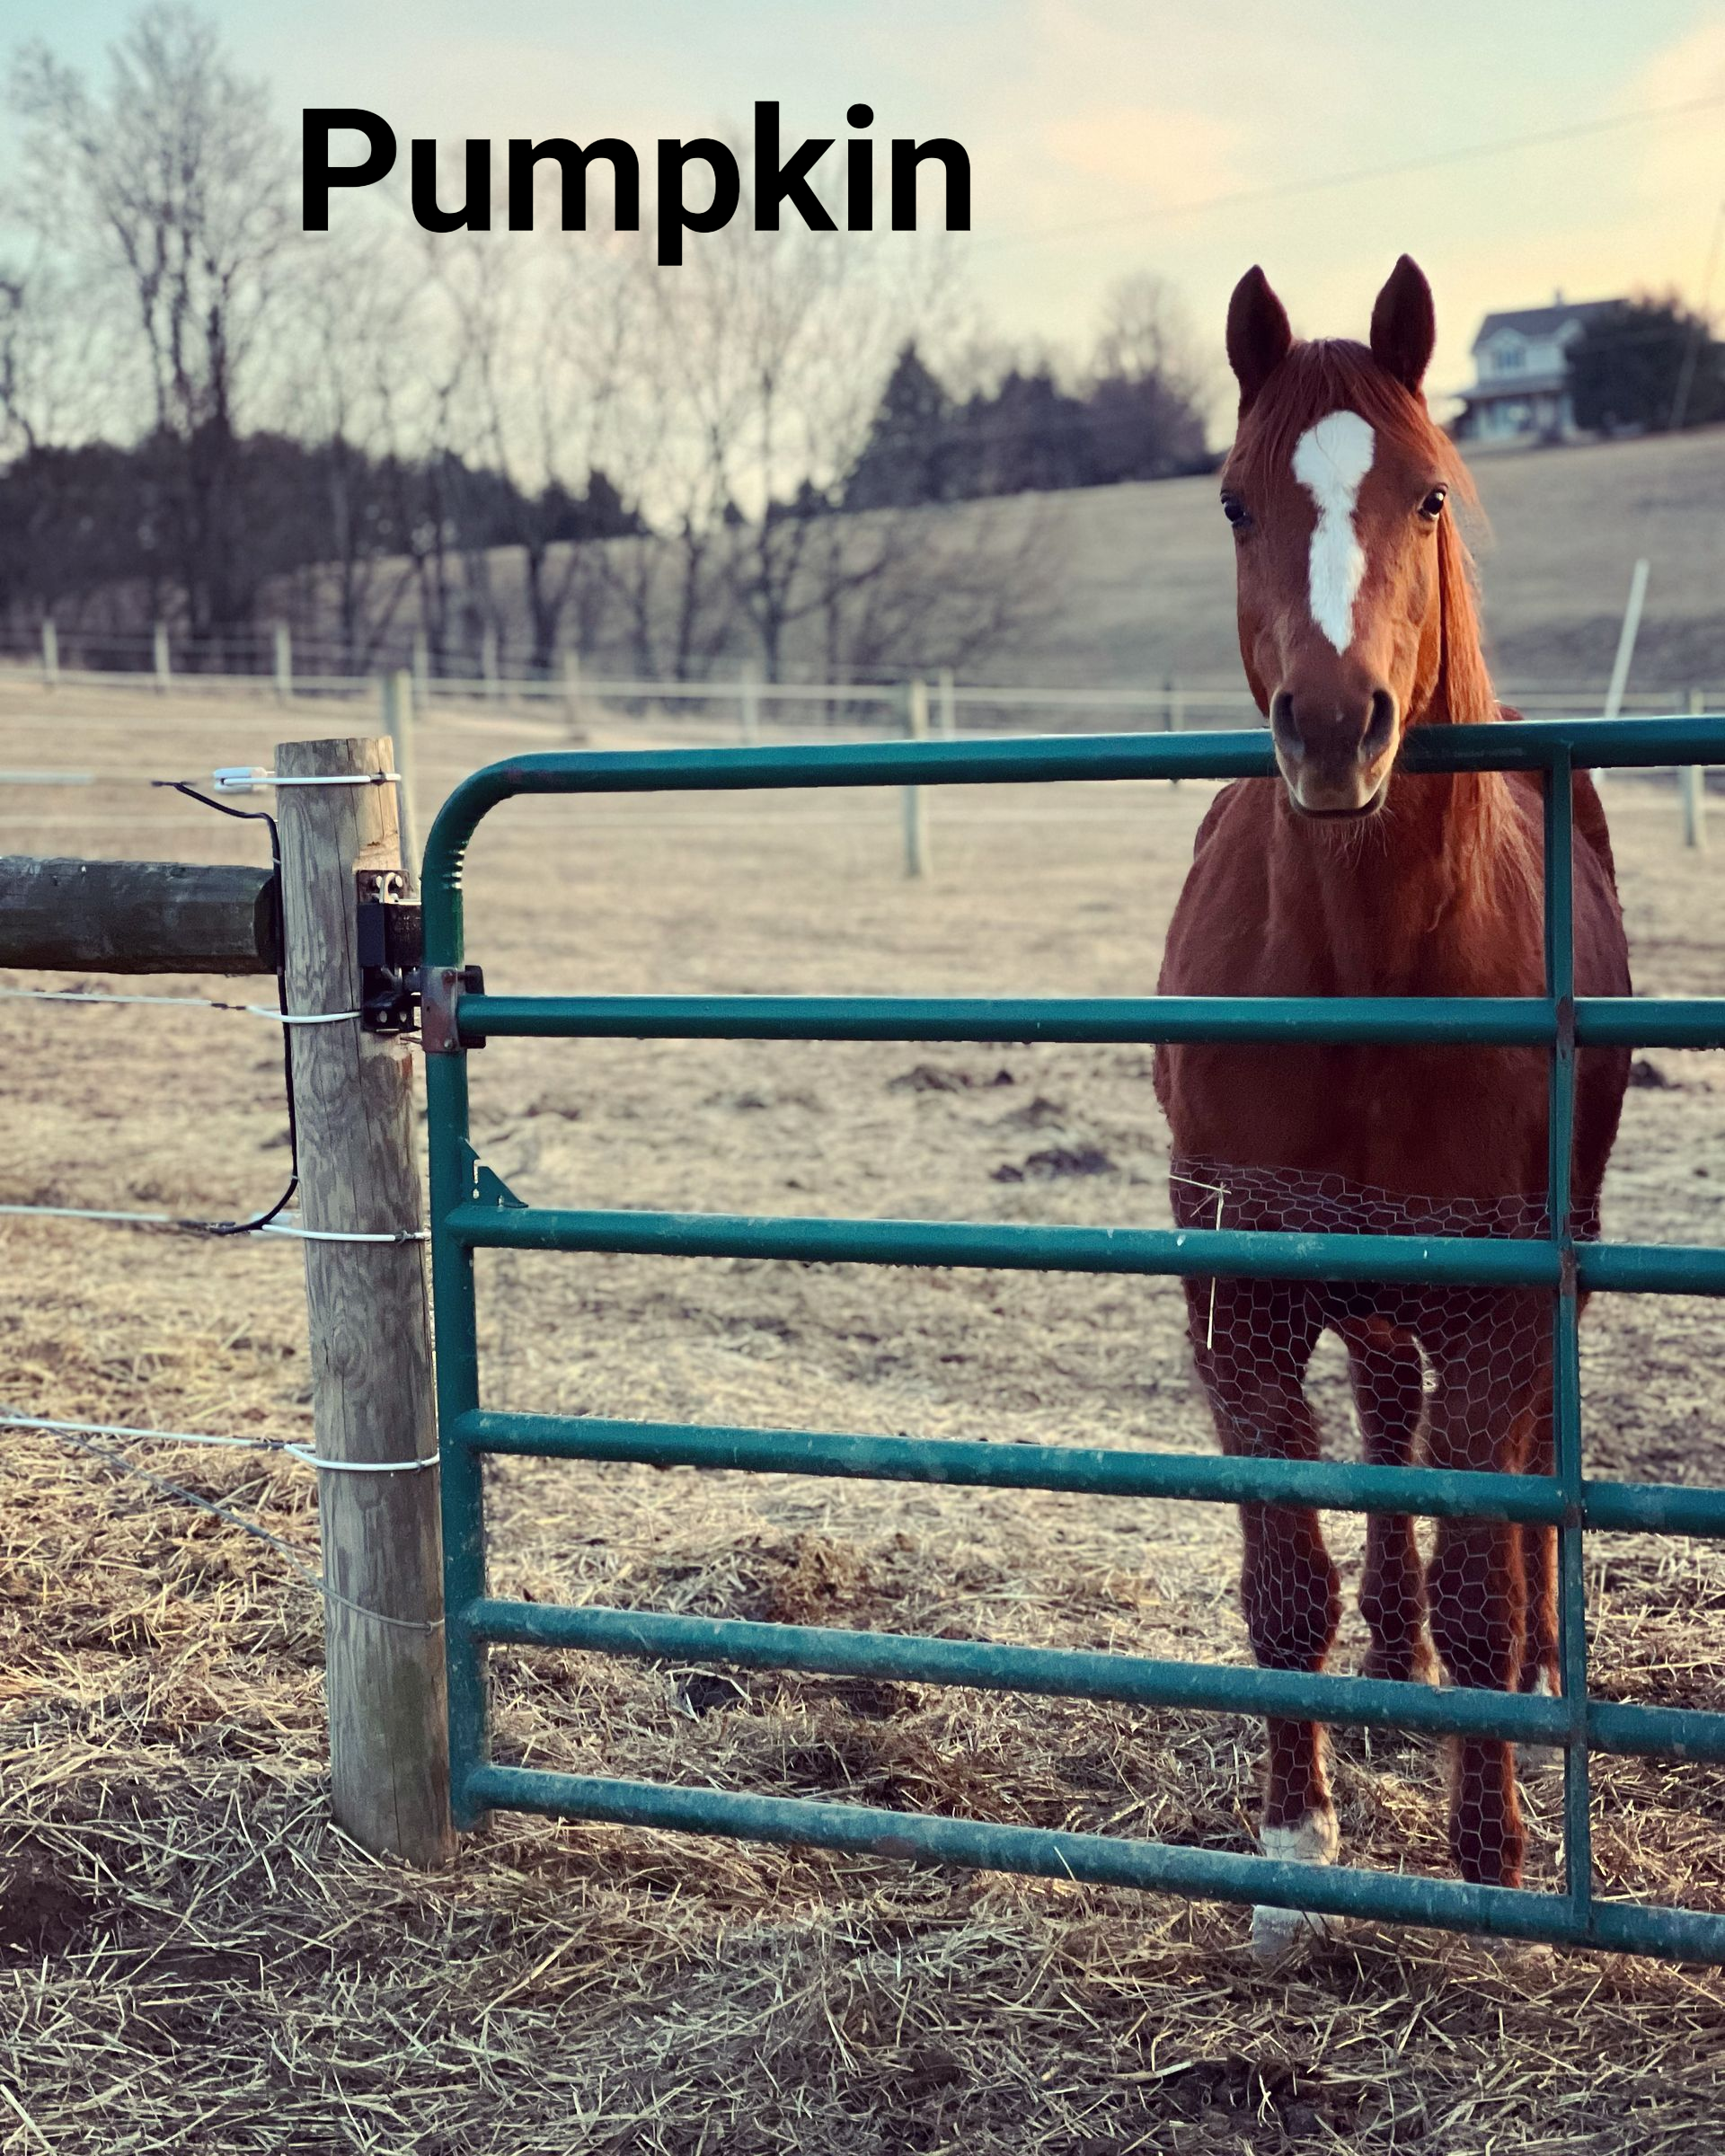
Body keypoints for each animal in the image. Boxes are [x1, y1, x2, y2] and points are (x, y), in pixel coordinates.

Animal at [1153, 257, 1631, 1957]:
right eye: (1235, 501)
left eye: (1427, 493)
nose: (1333, 724)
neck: (1365, 961)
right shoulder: (1242, 1288)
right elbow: (1283, 1570)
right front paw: (1294, 1846)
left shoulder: (1497, 1293)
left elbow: (1490, 1570)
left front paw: (1491, 1859)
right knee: (1386, 1415)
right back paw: (1388, 1655)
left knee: (1520, 1472)